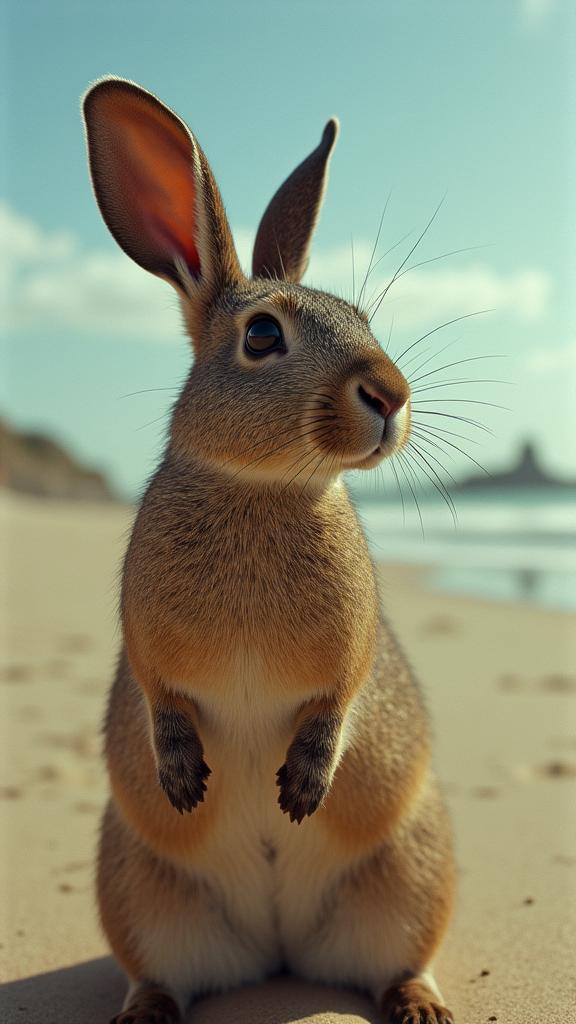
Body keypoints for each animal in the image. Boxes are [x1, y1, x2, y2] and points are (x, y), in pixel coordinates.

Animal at [82, 76, 456, 1024]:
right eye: (260, 338)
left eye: (362, 316)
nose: (391, 394)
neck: (263, 485)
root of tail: (280, 943)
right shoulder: (144, 635)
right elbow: (158, 691)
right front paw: (184, 778)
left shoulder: (351, 648)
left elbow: (342, 696)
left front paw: (302, 789)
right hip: (139, 888)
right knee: (159, 969)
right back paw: (145, 1011)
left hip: (411, 873)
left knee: (402, 957)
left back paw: (420, 1004)